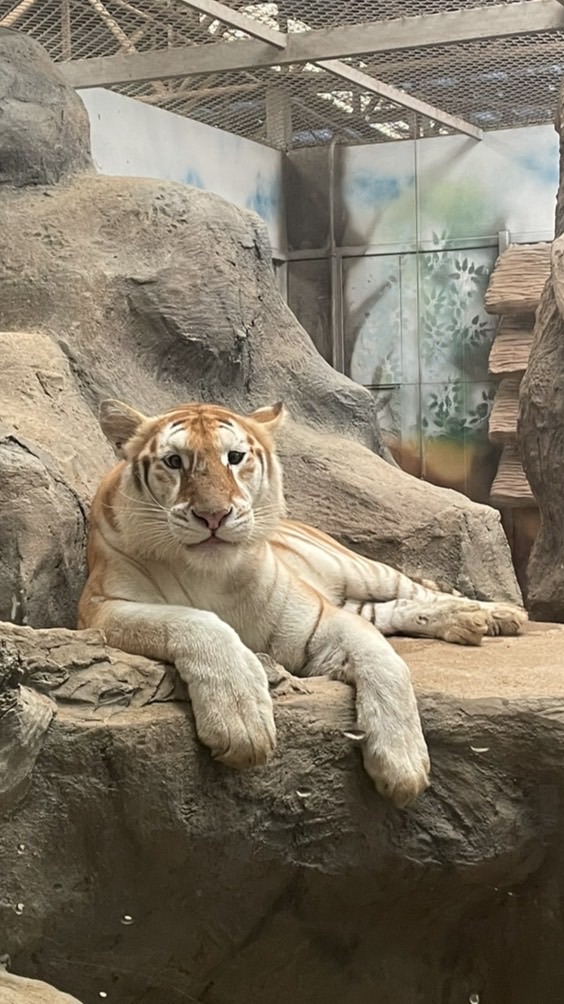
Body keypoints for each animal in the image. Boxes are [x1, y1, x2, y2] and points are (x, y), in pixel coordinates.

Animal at [78, 399, 527, 808]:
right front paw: (241, 720)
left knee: (418, 590)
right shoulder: (101, 607)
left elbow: (386, 663)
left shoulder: (323, 620)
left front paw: (403, 765)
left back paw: (498, 614)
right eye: (174, 461)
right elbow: (197, 621)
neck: (212, 574)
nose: (214, 516)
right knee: (389, 610)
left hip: (362, 569)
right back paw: (468, 622)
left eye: (234, 457)